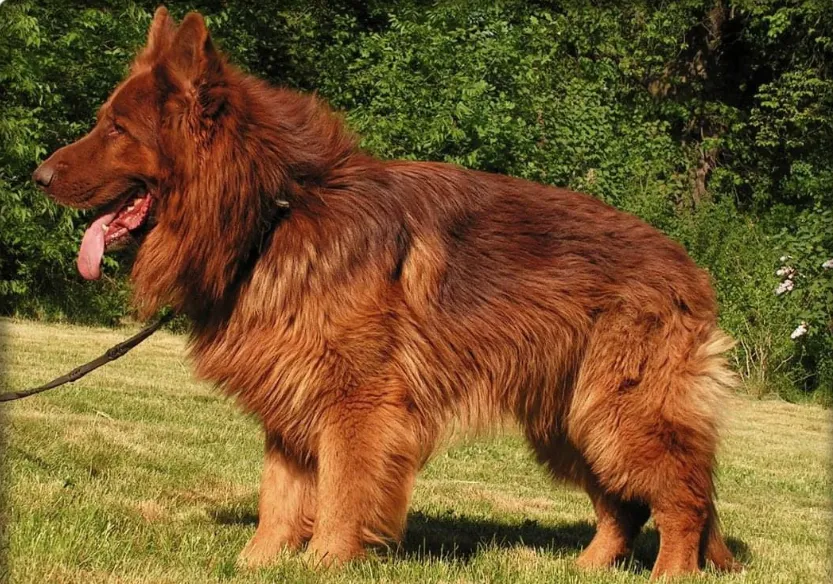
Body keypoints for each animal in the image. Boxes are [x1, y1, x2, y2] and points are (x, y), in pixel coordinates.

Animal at [32, 6, 736, 576]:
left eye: (117, 130)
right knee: (624, 505)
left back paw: (671, 573)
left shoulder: (356, 405)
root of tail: (691, 270)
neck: (276, 212)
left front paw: (324, 563)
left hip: (620, 416)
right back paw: (585, 568)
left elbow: (342, 494)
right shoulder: (292, 398)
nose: (37, 176)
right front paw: (256, 563)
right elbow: (279, 496)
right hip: (571, 421)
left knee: (683, 498)